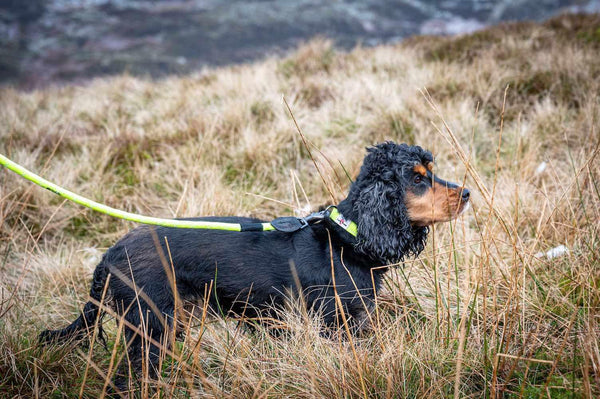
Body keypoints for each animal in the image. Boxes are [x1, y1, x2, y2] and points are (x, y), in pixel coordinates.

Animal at [41, 141, 468, 388]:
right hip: (148, 326)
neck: (350, 238)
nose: (465, 193)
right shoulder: (332, 326)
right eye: (417, 179)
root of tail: (109, 256)